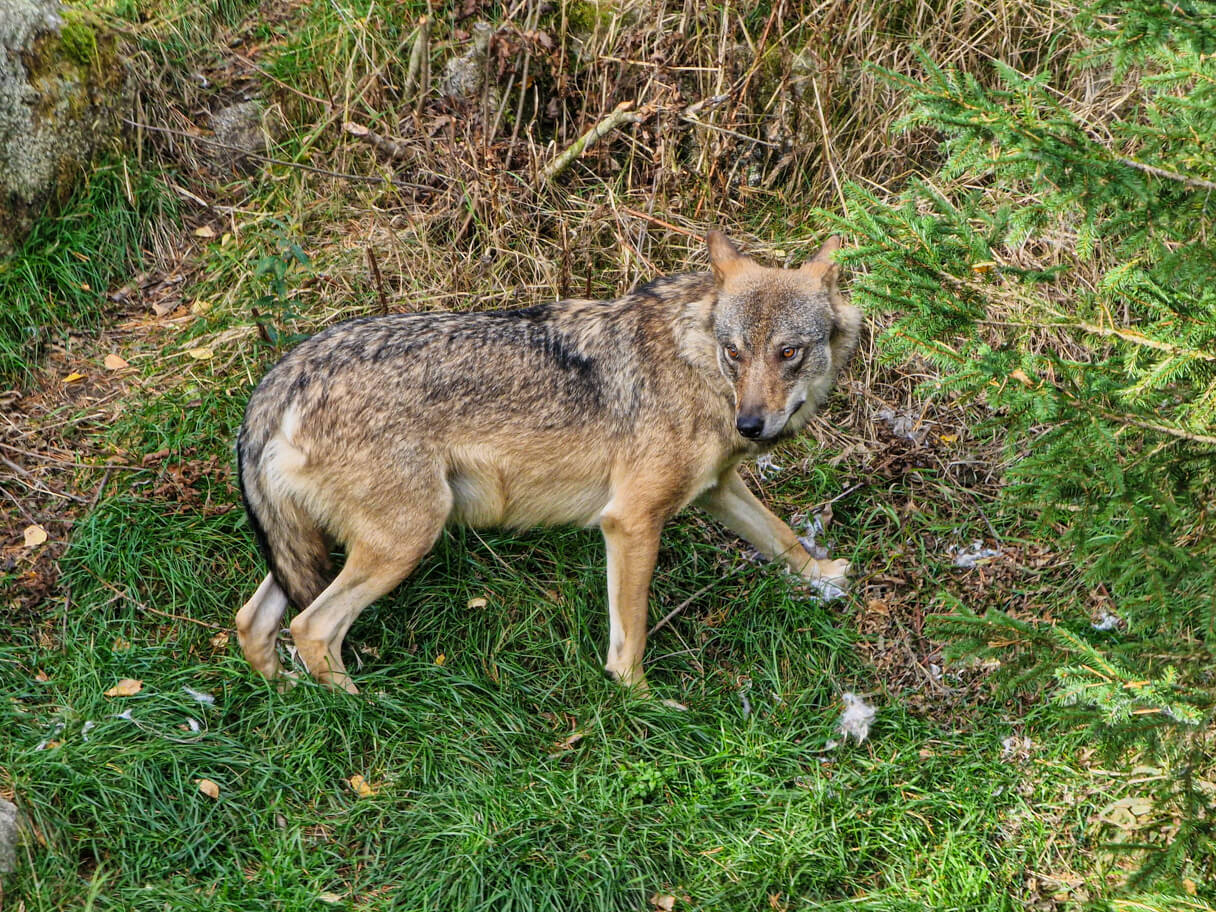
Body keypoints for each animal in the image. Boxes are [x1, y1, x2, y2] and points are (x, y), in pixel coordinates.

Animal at [234, 232, 865, 695]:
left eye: (788, 352)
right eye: (734, 351)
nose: (750, 425)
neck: (697, 363)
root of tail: (286, 371)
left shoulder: (716, 488)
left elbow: (780, 536)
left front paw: (826, 576)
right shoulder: (630, 521)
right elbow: (630, 636)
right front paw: (641, 700)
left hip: (324, 545)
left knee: (254, 621)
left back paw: (288, 694)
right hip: (406, 540)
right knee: (310, 627)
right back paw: (362, 707)